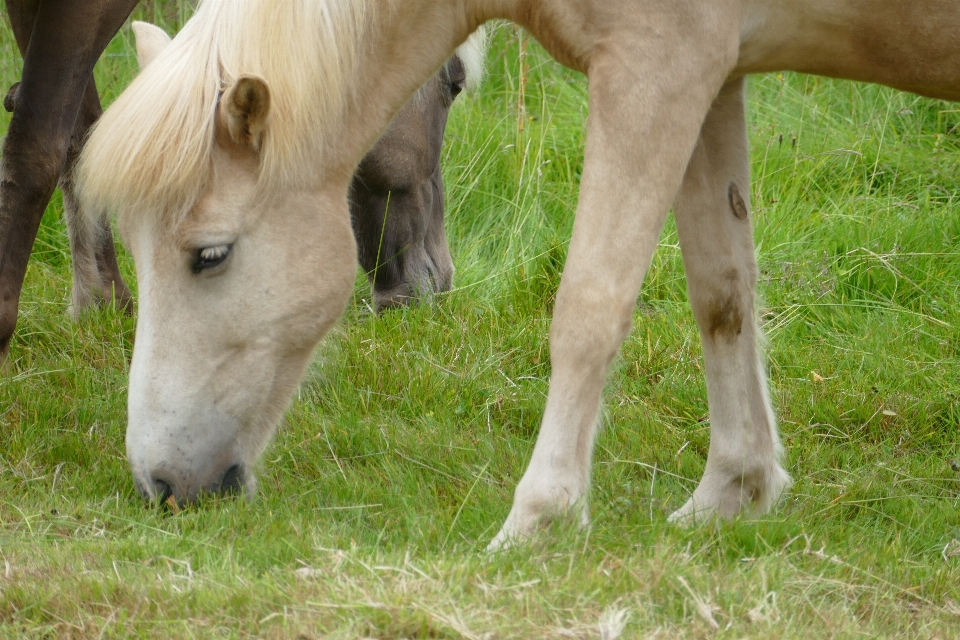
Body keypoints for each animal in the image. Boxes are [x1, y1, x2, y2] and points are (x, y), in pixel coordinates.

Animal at [77, 1, 960, 552]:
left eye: (210, 255)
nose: (160, 483)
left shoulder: (657, 67)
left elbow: (590, 308)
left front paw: (539, 519)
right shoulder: (714, 80)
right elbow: (723, 294)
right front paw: (731, 494)